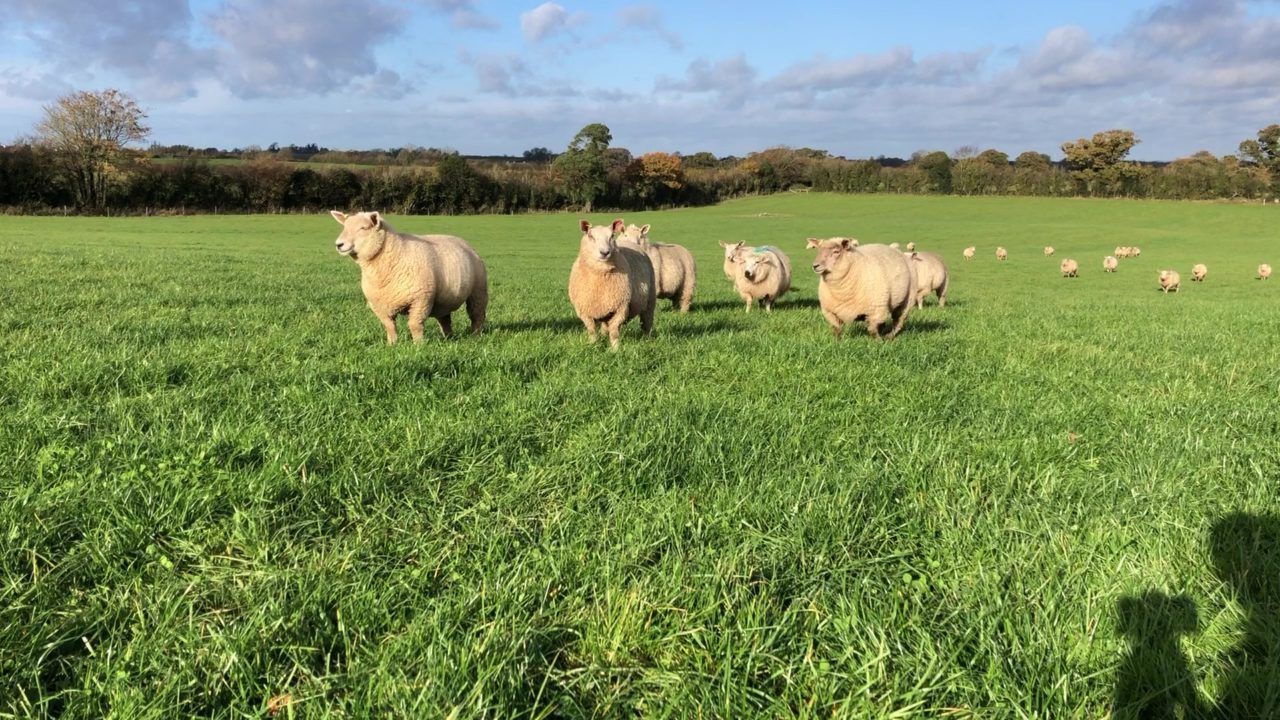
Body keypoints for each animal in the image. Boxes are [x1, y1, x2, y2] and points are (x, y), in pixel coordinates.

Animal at [330, 210, 487, 344]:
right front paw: (392, 344)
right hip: (445, 299)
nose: (339, 244)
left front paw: (419, 345)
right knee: (445, 319)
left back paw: (475, 336)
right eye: (344, 227)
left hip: (478, 291)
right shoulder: (379, 306)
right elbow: (389, 327)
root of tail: (462, 241)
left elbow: (414, 325)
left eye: (363, 228)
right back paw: (448, 338)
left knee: (477, 315)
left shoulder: (421, 299)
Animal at [569, 219, 656, 350]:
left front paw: (615, 349)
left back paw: (647, 338)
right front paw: (593, 345)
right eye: (590, 236)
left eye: (611, 236)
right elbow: (592, 330)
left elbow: (614, 331)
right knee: (605, 326)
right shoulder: (584, 310)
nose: (605, 252)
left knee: (647, 321)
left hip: (650, 300)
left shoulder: (621, 307)